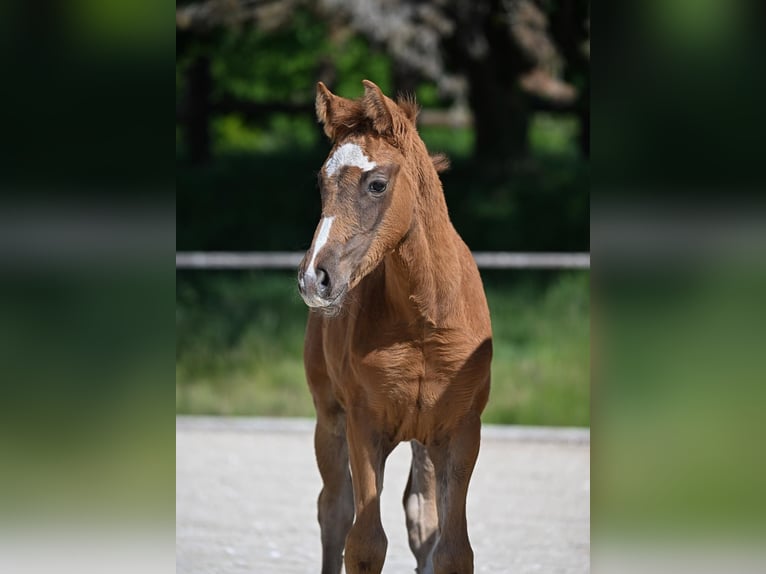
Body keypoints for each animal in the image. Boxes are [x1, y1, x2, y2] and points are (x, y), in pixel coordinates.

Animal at [298, 80, 492, 574]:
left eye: (377, 184)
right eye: (320, 182)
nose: (314, 278)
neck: (424, 320)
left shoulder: (461, 429)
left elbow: (453, 548)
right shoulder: (364, 424)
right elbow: (364, 544)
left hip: (424, 442)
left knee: (420, 516)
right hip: (328, 415)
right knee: (333, 509)